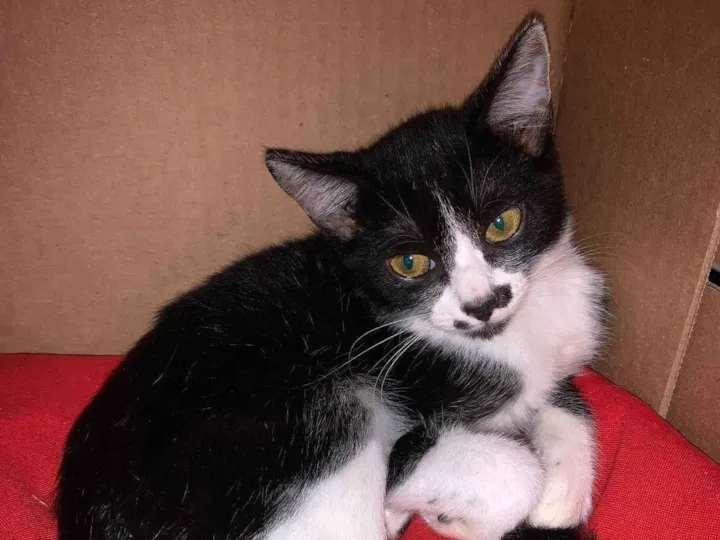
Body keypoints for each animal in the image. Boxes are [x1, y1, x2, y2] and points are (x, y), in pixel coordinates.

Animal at [57, 13, 604, 540]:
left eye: (502, 223)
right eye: (409, 263)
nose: (482, 303)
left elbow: (567, 399)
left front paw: (559, 494)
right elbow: (502, 470)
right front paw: (455, 515)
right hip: (316, 422)